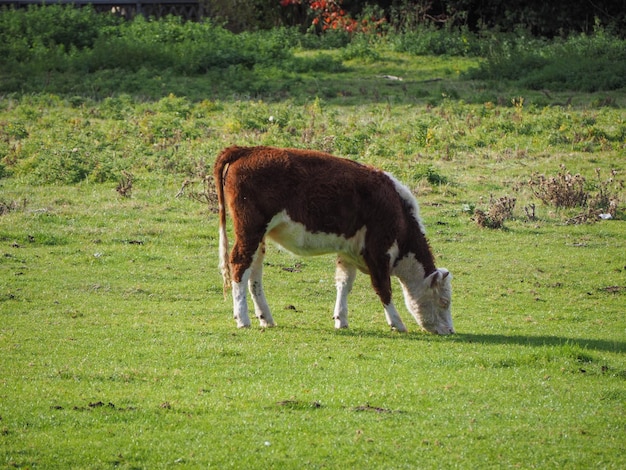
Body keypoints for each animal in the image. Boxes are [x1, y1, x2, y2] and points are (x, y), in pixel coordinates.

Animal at [214, 147, 454, 334]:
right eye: (444, 301)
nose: (450, 331)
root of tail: (248, 149)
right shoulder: (378, 251)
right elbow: (383, 287)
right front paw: (396, 323)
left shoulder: (349, 252)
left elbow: (344, 284)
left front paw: (341, 319)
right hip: (250, 230)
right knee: (239, 264)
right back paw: (243, 319)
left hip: (258, 237)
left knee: (254, 273)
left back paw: (266, 318)